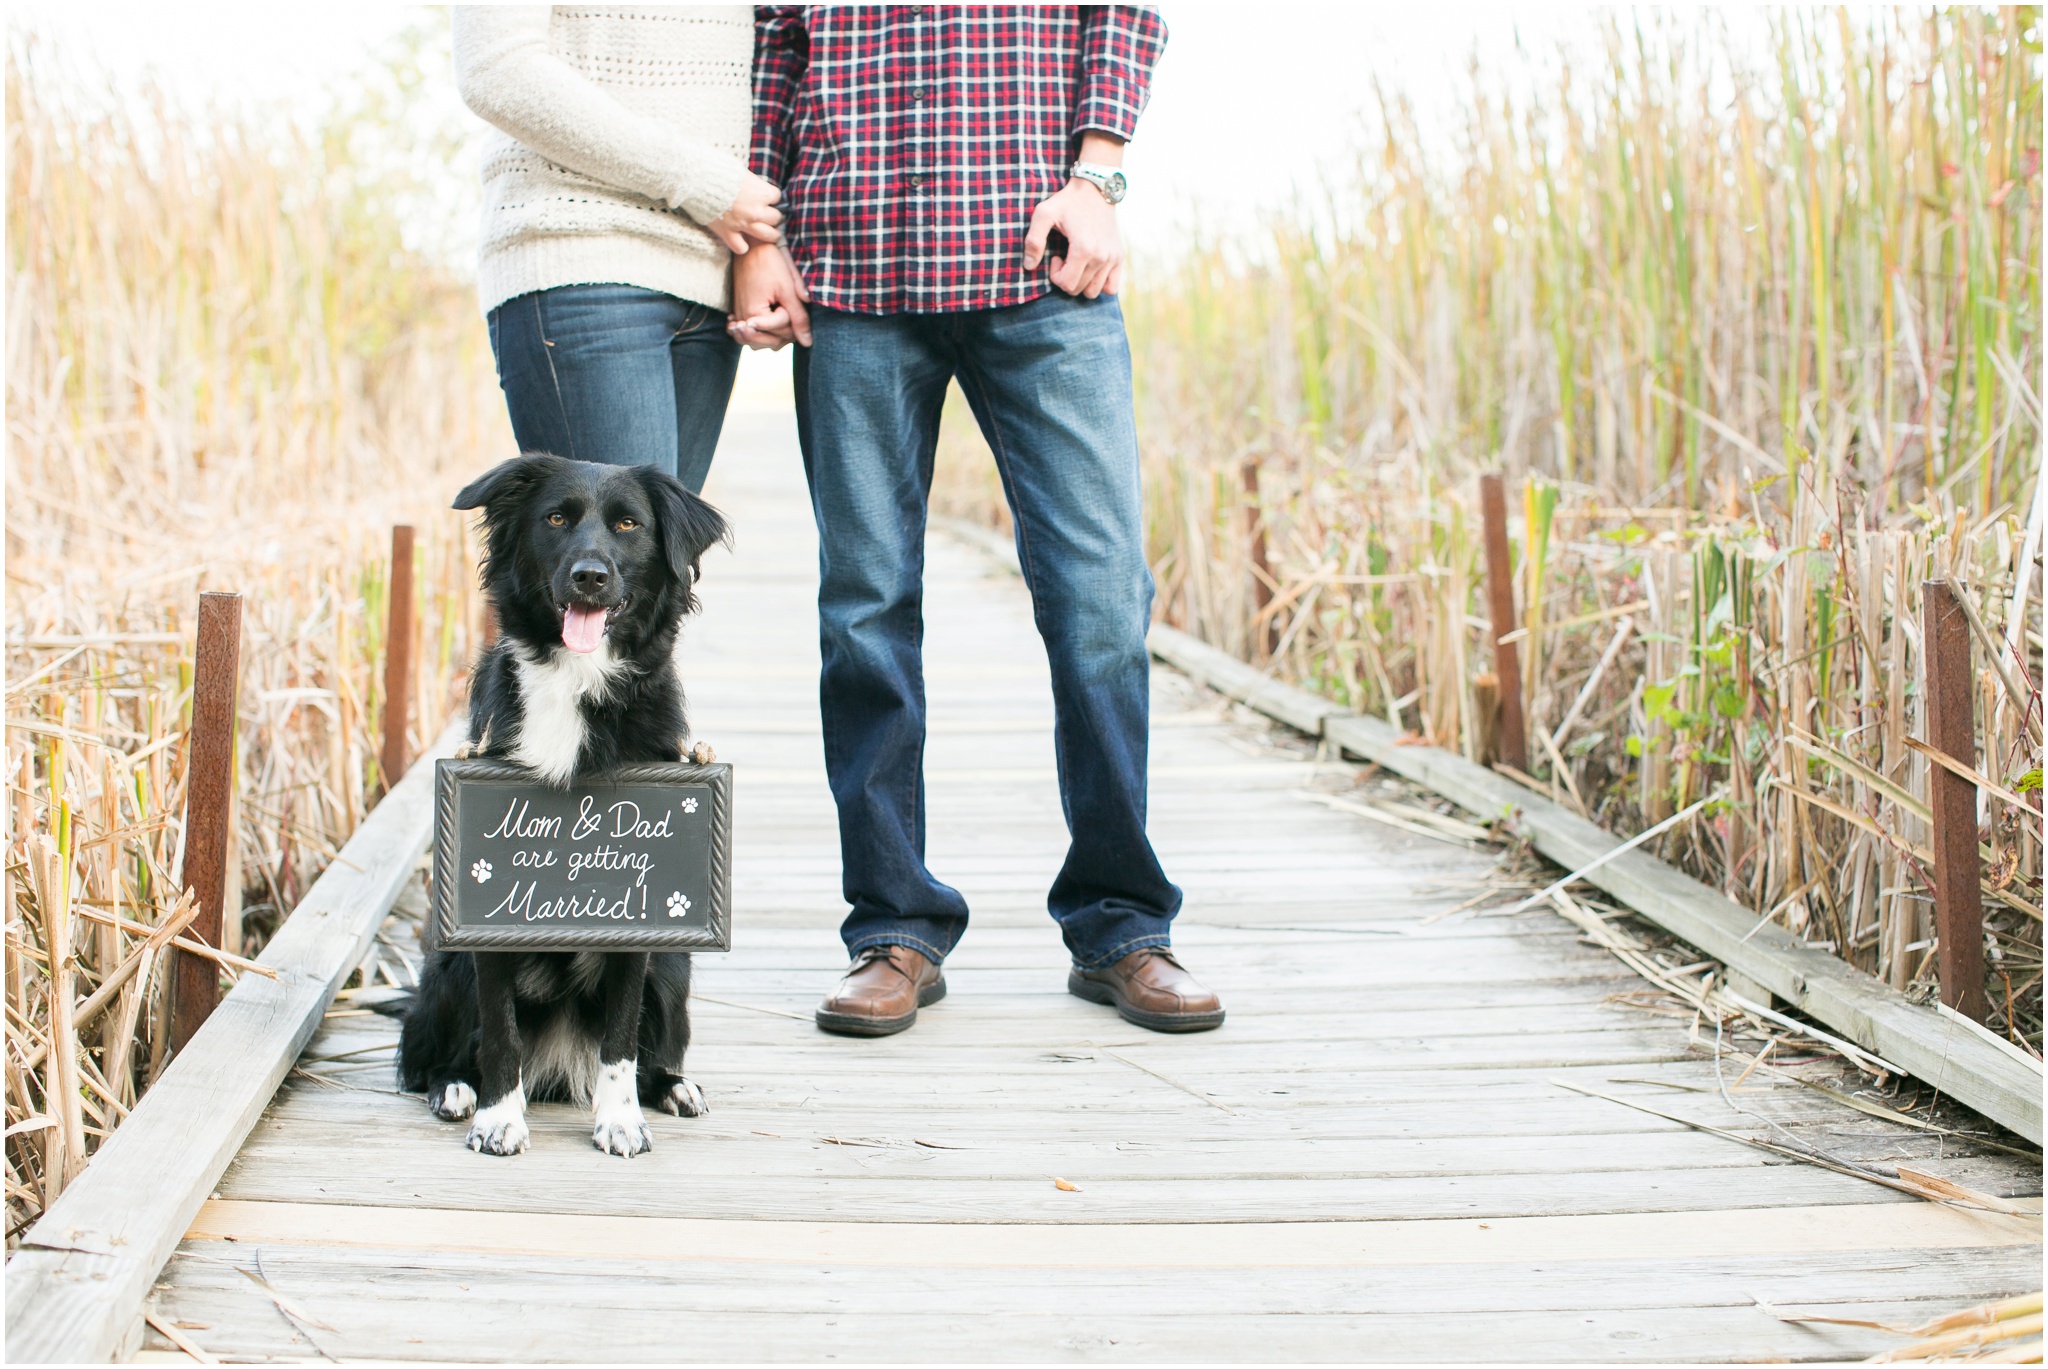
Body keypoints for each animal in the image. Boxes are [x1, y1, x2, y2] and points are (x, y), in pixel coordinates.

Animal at [391, 450, 729, 1155]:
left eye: (628, 524)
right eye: (555, 519)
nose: (589, 577)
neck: (576, 680)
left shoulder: (641, 925)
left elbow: (620, 1041)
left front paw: (620, 1120)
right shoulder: (485, 924)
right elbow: (500, 1032)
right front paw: (499, 1118)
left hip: (675, 968)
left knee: (649, 1050)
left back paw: (674, 1086)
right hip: (447, 966)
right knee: (428, 1057)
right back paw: (454, 1089)